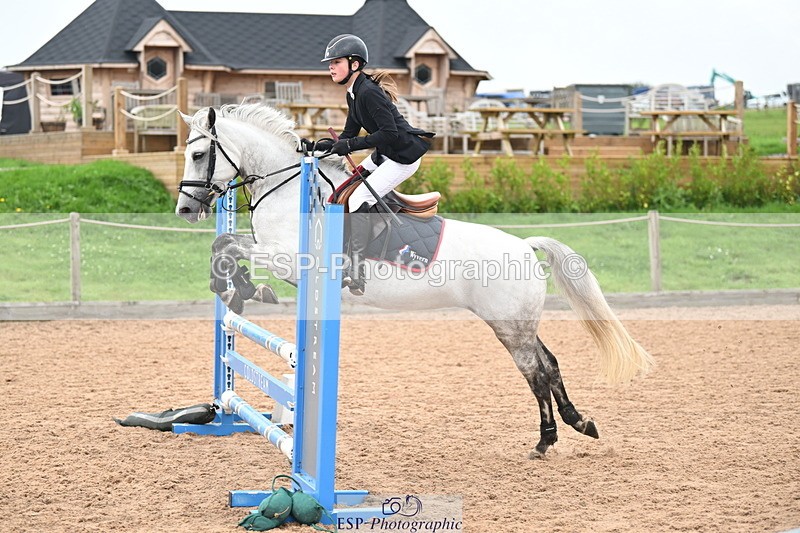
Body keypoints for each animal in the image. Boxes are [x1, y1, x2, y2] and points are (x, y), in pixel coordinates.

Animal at [175, 103, 654, 459]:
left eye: (198, 155)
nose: (184, 210)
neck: (291, 189)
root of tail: (524, 245)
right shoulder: (273, 252)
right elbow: (224, 243)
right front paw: (238, 290)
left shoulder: (289, 259)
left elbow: (228, 247)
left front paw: (242, 290)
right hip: (517, 323)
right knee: (549, 365)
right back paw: (578, 423)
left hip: (508, 326)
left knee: (535, 373)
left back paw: (545, 440)